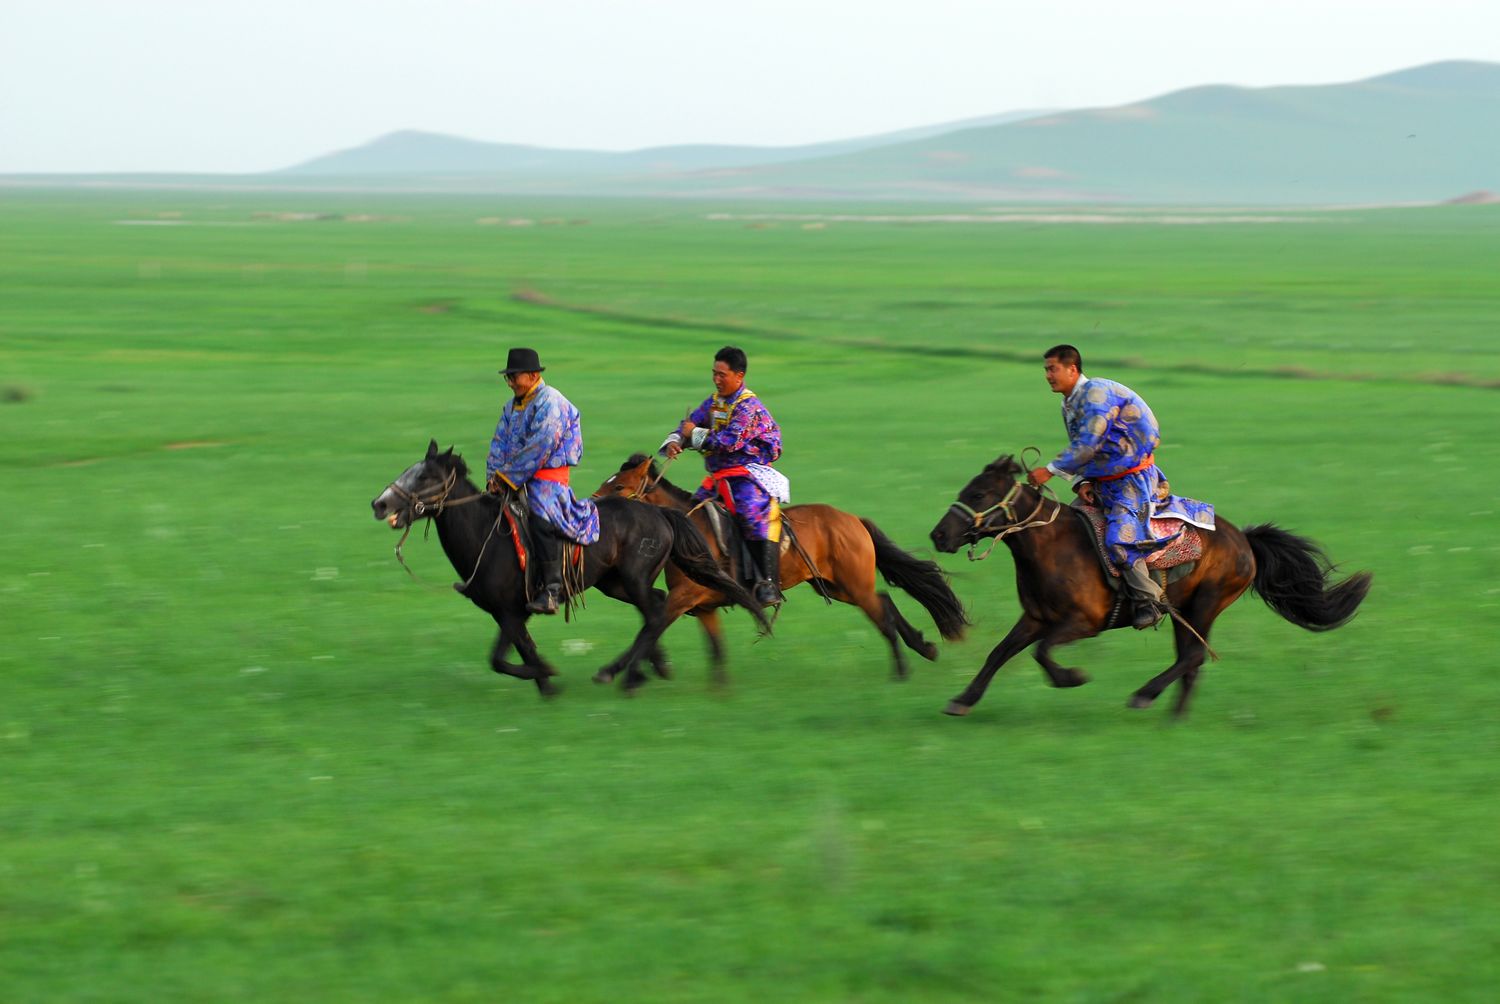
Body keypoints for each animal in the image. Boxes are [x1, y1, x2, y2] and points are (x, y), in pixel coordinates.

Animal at [372, 441, 774, 693]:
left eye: (425, 477)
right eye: (409, 471)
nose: (380, 504)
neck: (487, 536)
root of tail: (661, 512)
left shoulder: (513, 611)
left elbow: (510, 657)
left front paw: (548, 677)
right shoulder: (506, 612)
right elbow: (508, 656)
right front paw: (548, 683)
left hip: (633, 577)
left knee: (656, 614)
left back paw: (626, 676)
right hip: (614, 583)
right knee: (657, 608)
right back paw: (649, 668)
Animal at [597, 453, 972, 681]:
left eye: (619, 486)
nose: (595, 506)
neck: (692, 528)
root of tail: (853, 520)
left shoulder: (686, 596)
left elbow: (652, 625)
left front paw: (613, 670)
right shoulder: (702, 606)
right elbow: (698, 643)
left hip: (852, 584)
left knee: (882, 613)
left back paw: (902, 670)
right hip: (837, 585)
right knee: (885, 601)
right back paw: (924, 648)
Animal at [924, 453, 1374, 720]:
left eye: (980, 493)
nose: (938, 535)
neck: (1051, 546)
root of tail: (1244, 540)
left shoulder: (1082, 623)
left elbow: (1042, 652)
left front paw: (1072, 677)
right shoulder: (1035, 618)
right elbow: (1000, 653)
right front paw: (962, 700)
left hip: (1206, 603)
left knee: (1193, 657)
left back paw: (1145, 696)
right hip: (1183, 610)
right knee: (1191, 662)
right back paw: (1173, 717)